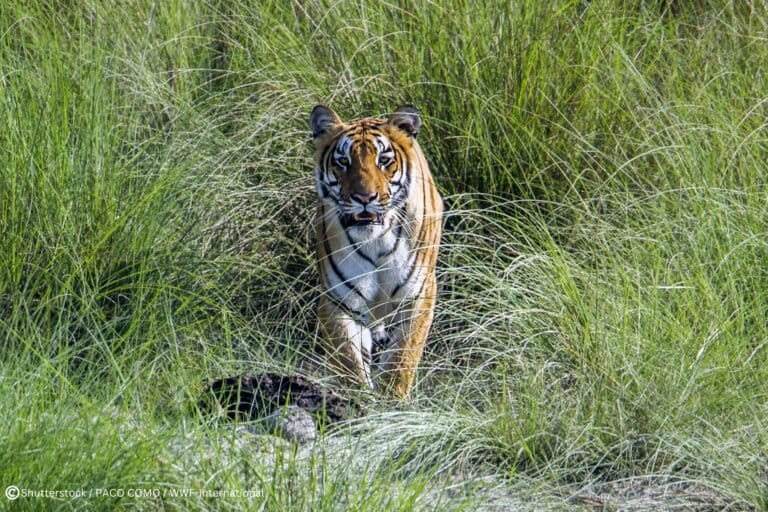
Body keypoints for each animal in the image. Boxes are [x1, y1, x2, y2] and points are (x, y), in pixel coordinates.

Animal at [310, 104, 443, 398]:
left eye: (383, 160)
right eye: (343, 161)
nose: (364, 198)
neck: (376, 241)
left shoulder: (417, 296)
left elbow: (401, 360)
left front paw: (392, 402)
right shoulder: (340, 302)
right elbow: (349, 362)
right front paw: (358, 401)